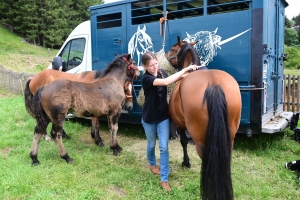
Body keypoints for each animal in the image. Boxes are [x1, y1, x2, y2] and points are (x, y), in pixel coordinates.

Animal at [165, 36, 243, 200]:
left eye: (173, 49)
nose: (166, 56)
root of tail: (213, 84)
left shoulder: (180, 124)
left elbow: (183, 141)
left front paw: (186, 162)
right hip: (229, 137)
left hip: (201, 140)